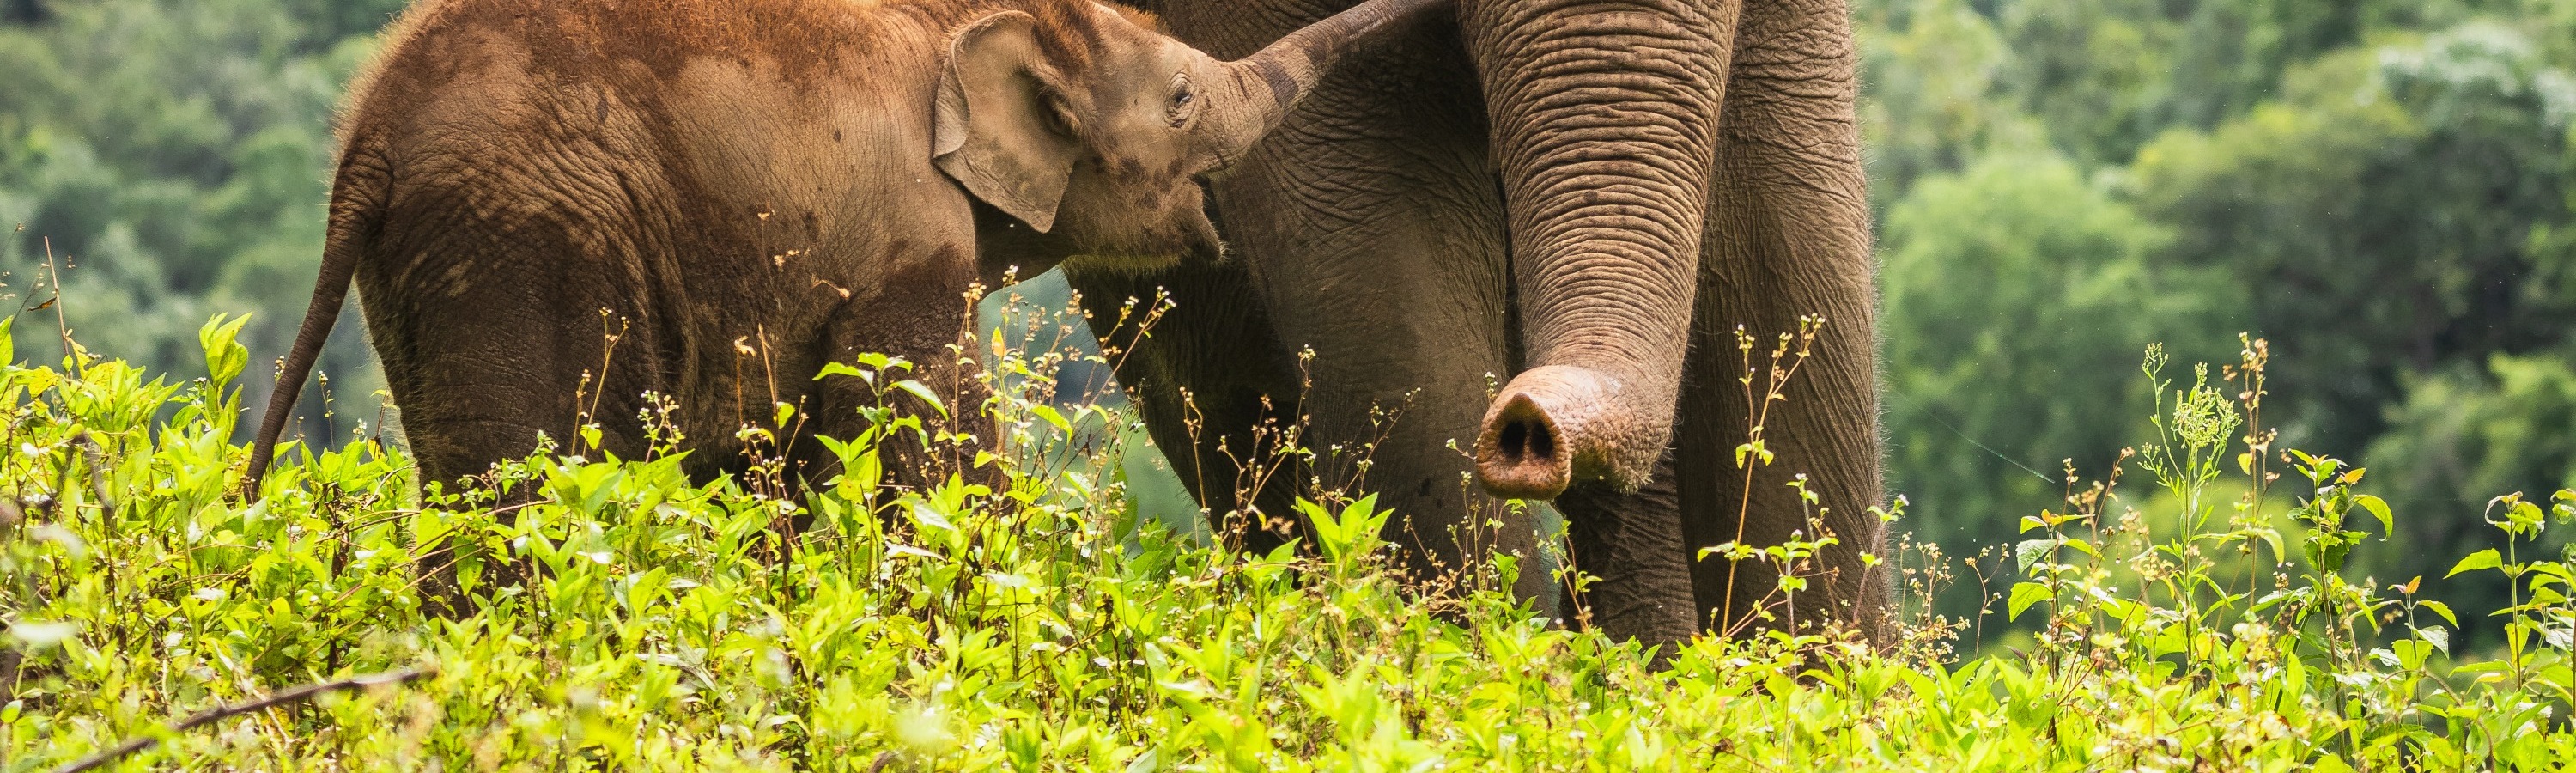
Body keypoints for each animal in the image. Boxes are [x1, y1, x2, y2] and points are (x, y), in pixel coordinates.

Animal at [242, 0, 1453, 502]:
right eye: (1186, 99)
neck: (953, 19)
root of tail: (367, 138)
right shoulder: (906, 227)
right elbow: (923, 438)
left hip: (431, 260)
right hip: (524, 234)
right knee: (528, 484)